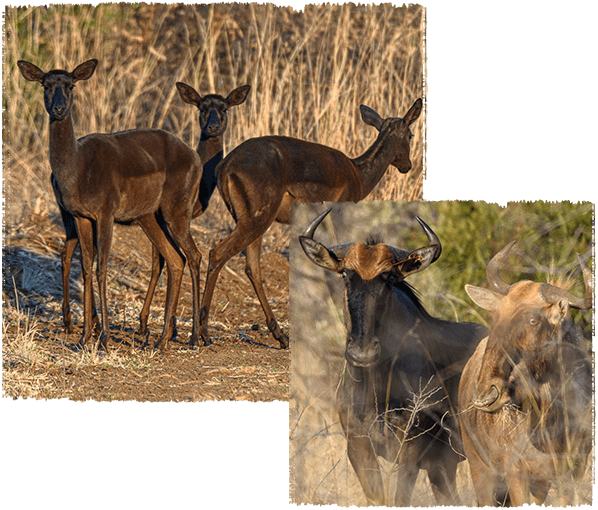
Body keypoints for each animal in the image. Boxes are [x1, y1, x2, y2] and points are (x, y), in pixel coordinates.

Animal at [17, 57, 204, 348]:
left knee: (194, 256)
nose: (59, 109)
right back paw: (160, 340)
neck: (77, 167)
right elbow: (85, 267)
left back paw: (193, 338)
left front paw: (103, 337)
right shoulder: (81, 217)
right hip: (150, 218)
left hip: (177, 213)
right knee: (175, 259)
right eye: (45, 85)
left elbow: (102, 268)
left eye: (70, 85)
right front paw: (84, 337)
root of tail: (196, 158)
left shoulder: (105, 214)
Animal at [199, 97, 424, 348]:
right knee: (218, 253)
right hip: (257, 218)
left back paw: (281, 337)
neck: (359, 175)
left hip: (251, 220)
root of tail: (224, 167)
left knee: (252, 267)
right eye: (411, 134)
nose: (407, 165)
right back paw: (203, 334)